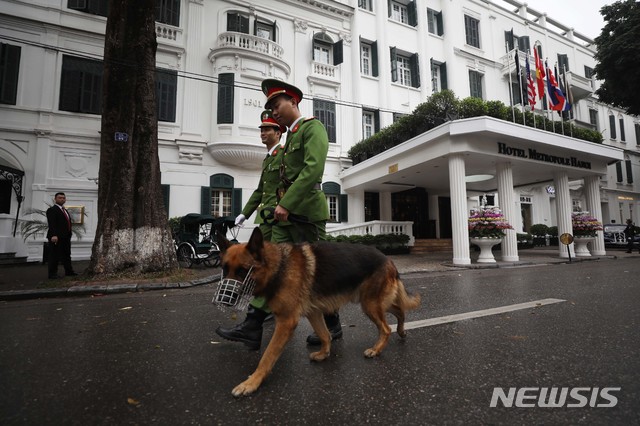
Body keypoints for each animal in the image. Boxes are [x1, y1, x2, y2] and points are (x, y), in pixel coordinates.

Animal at [218, 228, 422, 398]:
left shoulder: (286, 322)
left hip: (370, 304)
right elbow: (325, 335)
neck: (279, 266)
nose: (225, 298)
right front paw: (324, 353)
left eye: (243, 271)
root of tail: (388, 259)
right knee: (400, 310)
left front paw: (252, 382)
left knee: (386, 328)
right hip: (373, 302)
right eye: (224, 269)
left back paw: (376, 349)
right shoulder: (313, 313)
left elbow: (267, 356)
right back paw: (401, 331)